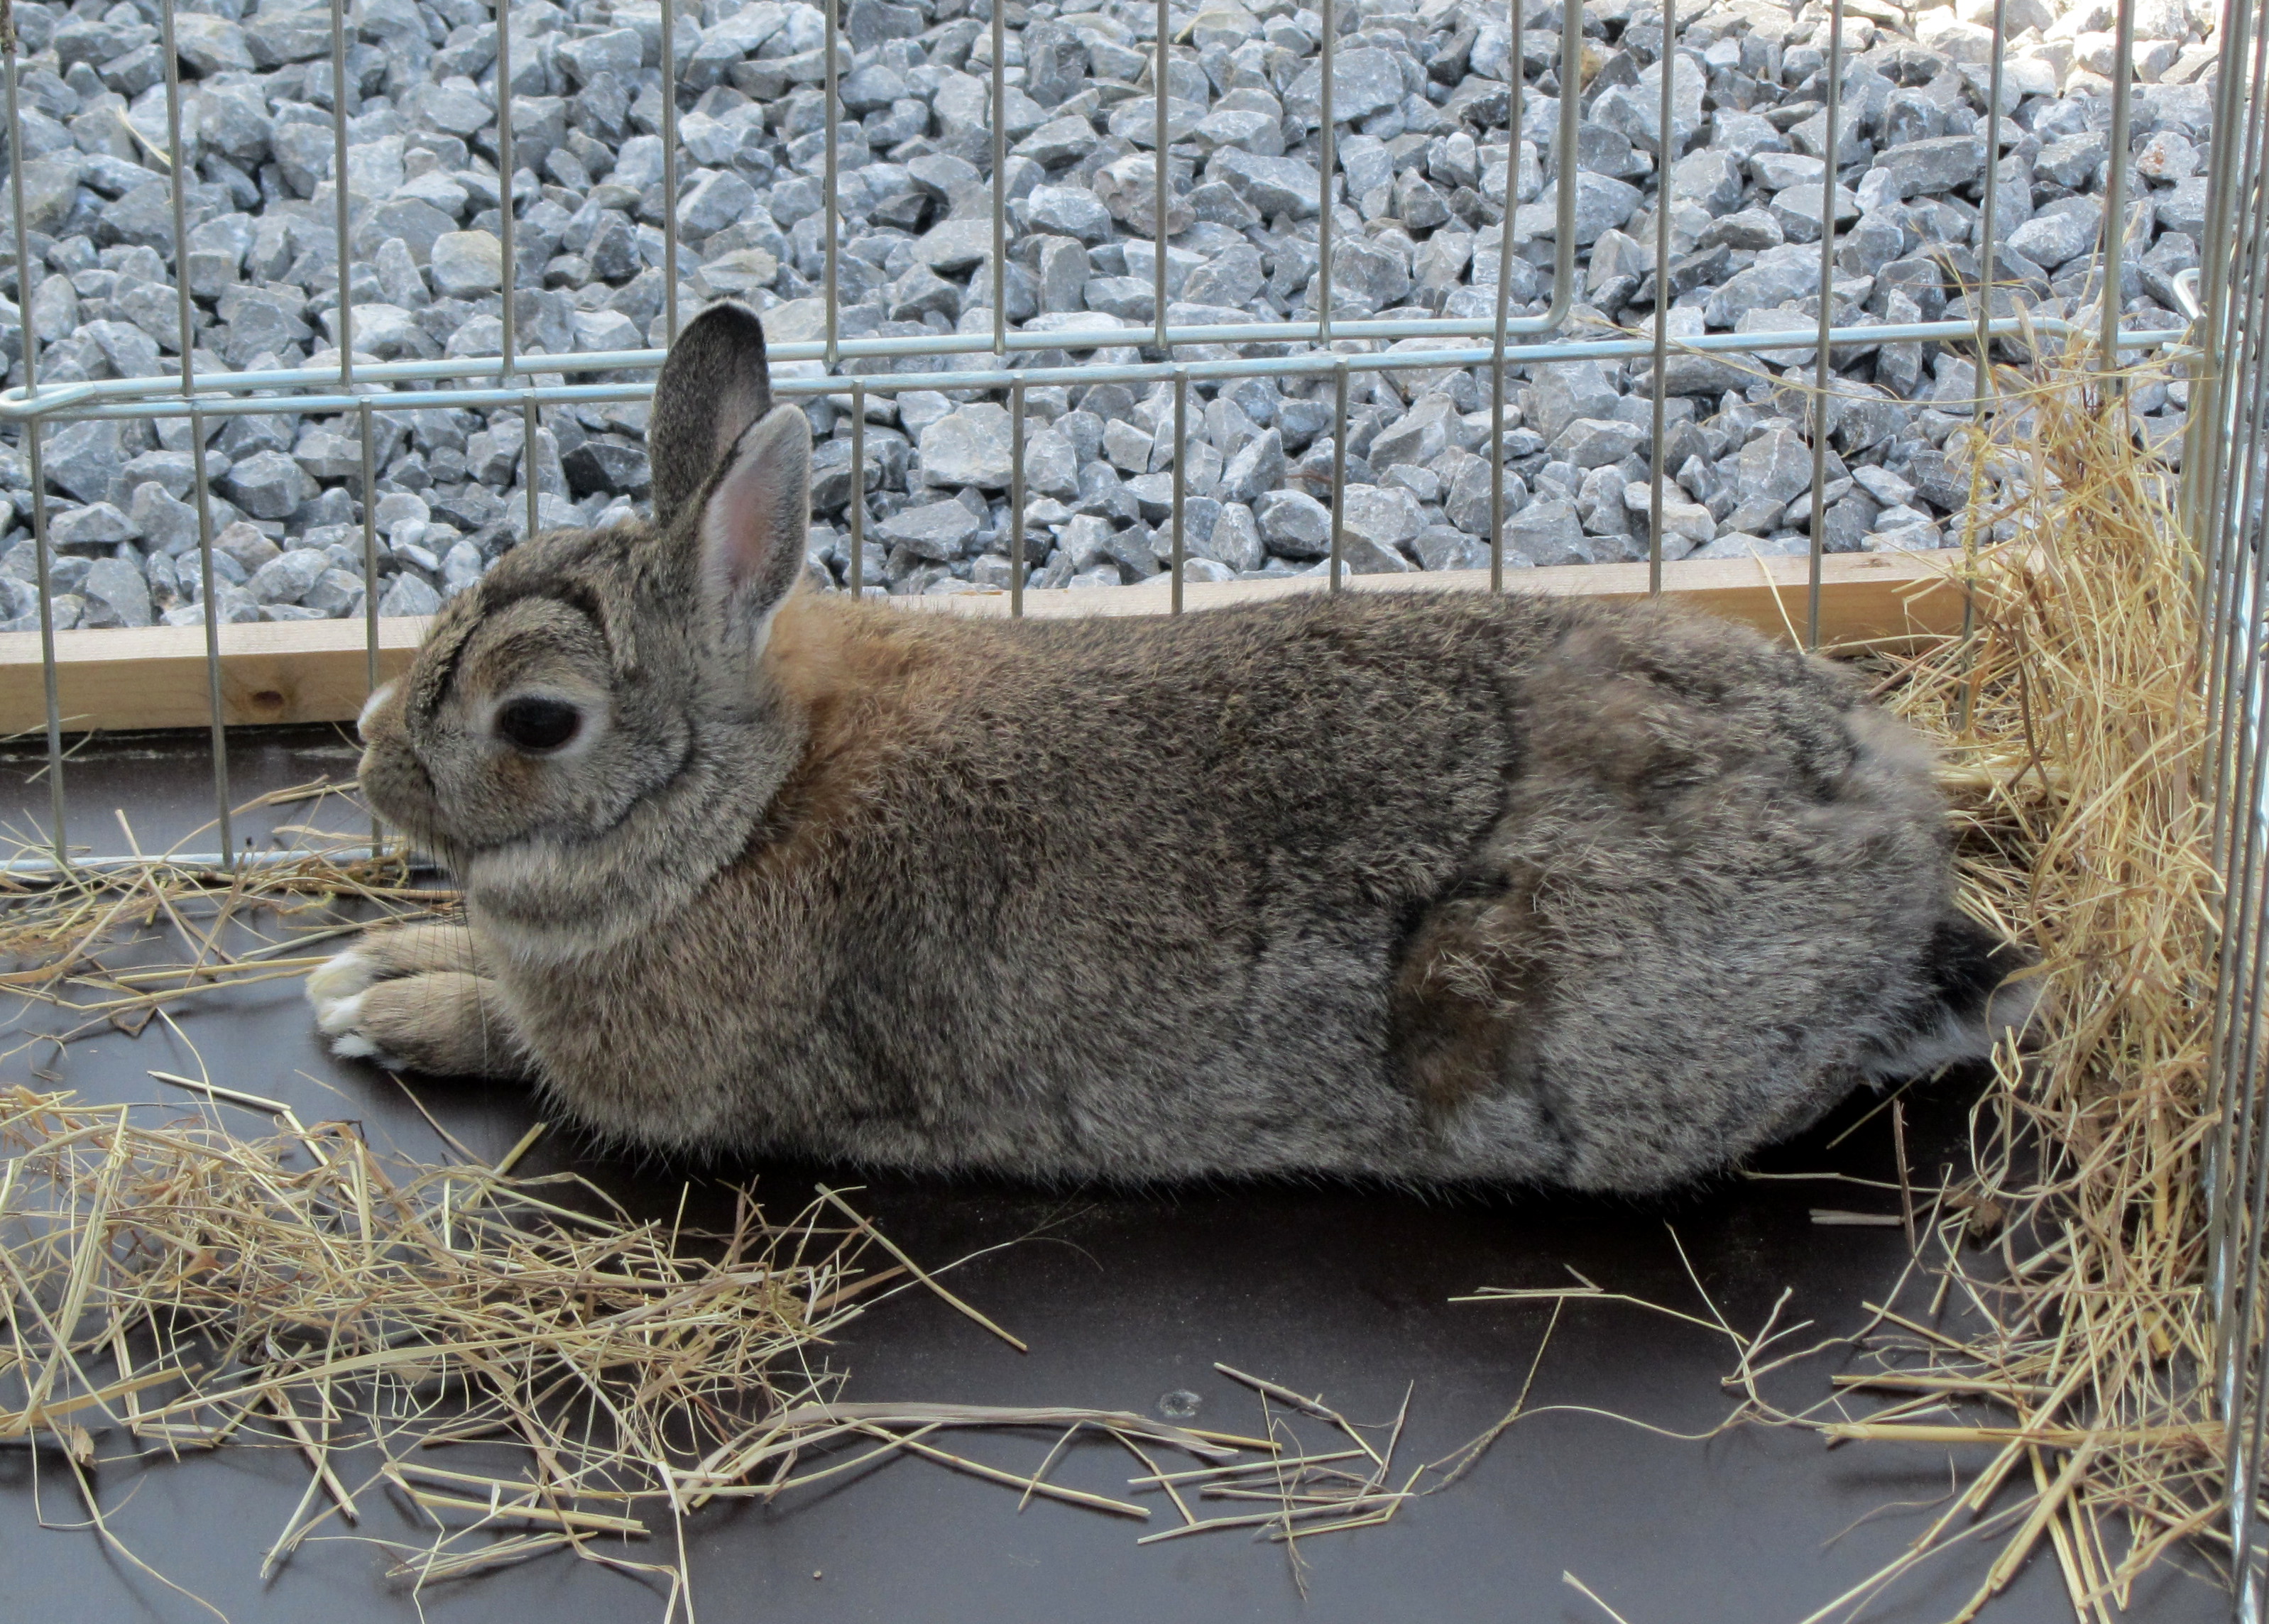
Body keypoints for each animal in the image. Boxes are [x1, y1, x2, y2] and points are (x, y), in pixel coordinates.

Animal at [306, 299, 2036, 1194]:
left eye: (538, 722)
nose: (373, 758)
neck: (738, 804)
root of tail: (1897, 889)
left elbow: (518, 1040)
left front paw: (388, 1000)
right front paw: (375, 961)